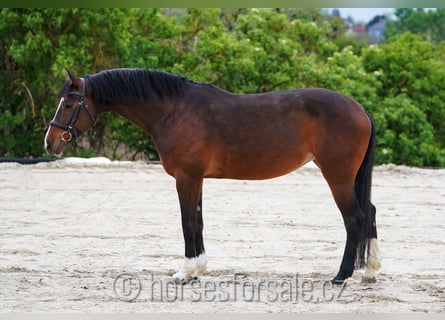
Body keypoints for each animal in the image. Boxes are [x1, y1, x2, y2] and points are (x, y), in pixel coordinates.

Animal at [44, 69, 382, 284]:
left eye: (70, 104)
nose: (50, 141)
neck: (174, 110)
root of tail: (360, 110)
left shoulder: (186, 178)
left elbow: (188, 224)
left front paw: (184, 273)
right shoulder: (198, 179)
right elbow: (199, 222)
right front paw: (199, 270)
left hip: (338, 177)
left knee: (354, 218)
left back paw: (342, 275)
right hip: (349, 179)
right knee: (370, 213)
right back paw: (370, 271)